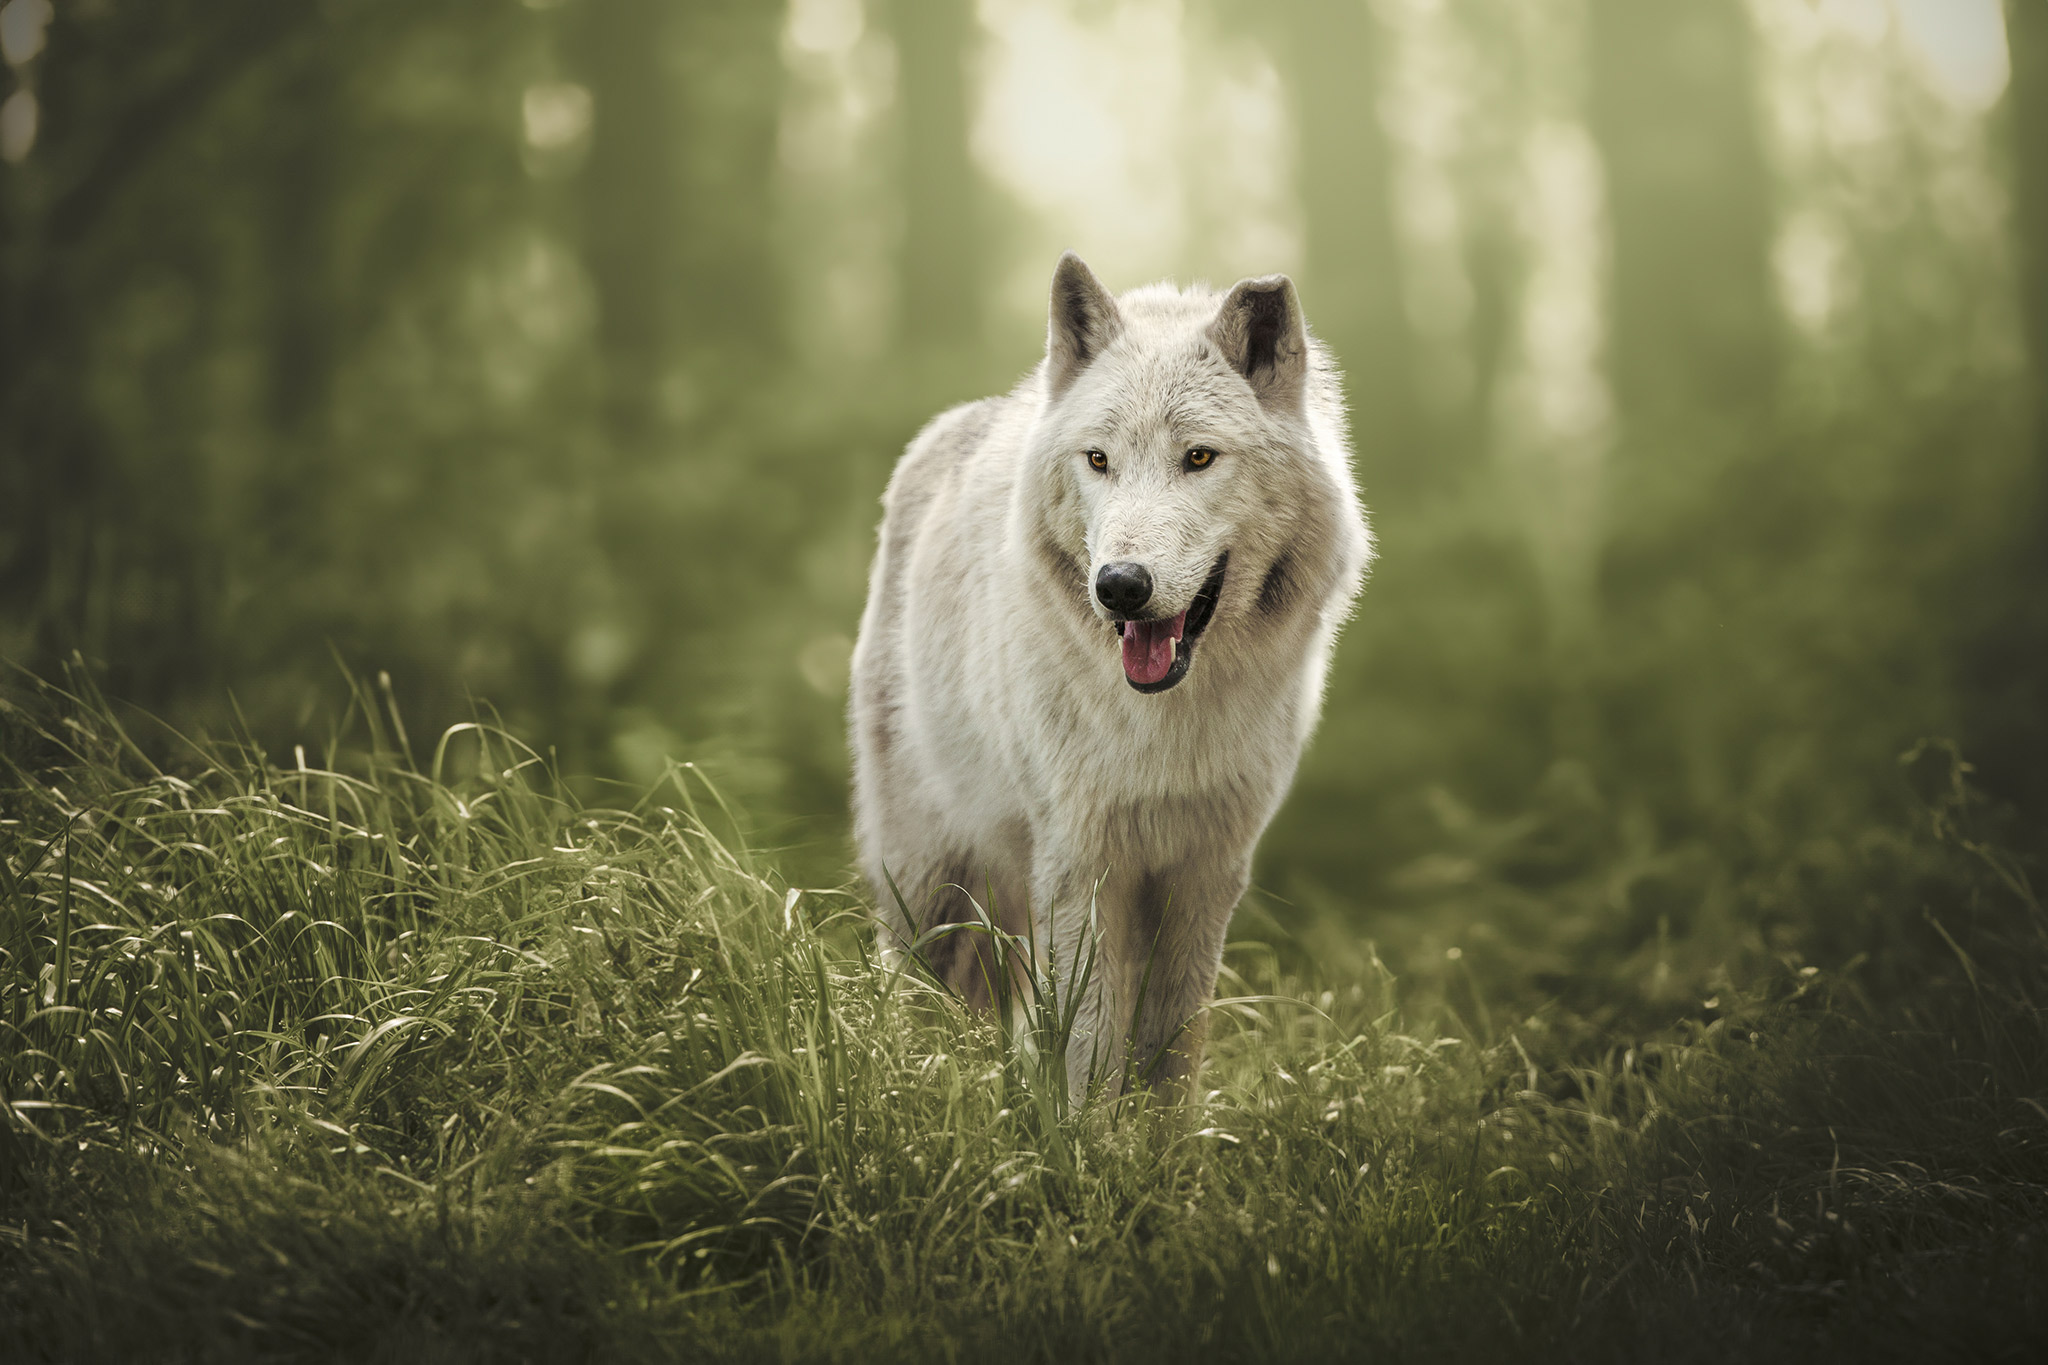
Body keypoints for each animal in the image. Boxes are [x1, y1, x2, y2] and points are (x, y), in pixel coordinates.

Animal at [849, 252, 1372, 1101]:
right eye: (1099, 460)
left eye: (1199, 457)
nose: (1121, 585)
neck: (1166, 725)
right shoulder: (1082, 866)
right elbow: (1089, 1051)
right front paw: (1084, 1137)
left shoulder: (1207, 872)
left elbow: (1169, 1060)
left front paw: (1154, 1140)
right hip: (931, 891)